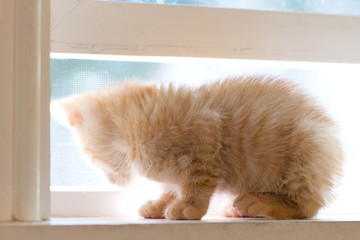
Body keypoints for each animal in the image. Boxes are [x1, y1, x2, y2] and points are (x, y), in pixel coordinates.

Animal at [51, 75, 344, 219]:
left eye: (88, 156)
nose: (112, 183)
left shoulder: (208, 130)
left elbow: (197, 179)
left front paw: (189, 206)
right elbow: (171, 186)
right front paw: (159, 204)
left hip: (310, 144)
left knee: (308, 204)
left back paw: (259, 202)